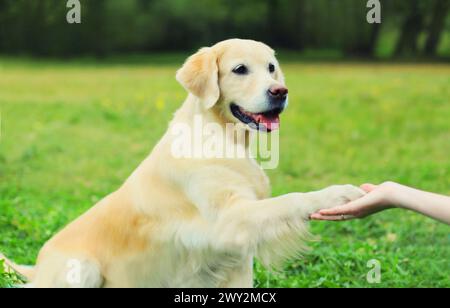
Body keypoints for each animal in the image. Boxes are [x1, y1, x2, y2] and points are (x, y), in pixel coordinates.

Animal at [0, 39, 364, 288]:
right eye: (240, 69)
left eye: (271, 67)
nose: (280, 92)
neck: (223, 137)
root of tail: (36, 267)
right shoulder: (231, 220)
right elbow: (292, 199)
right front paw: (338, 193)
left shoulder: (237, 257)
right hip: (82, 268)